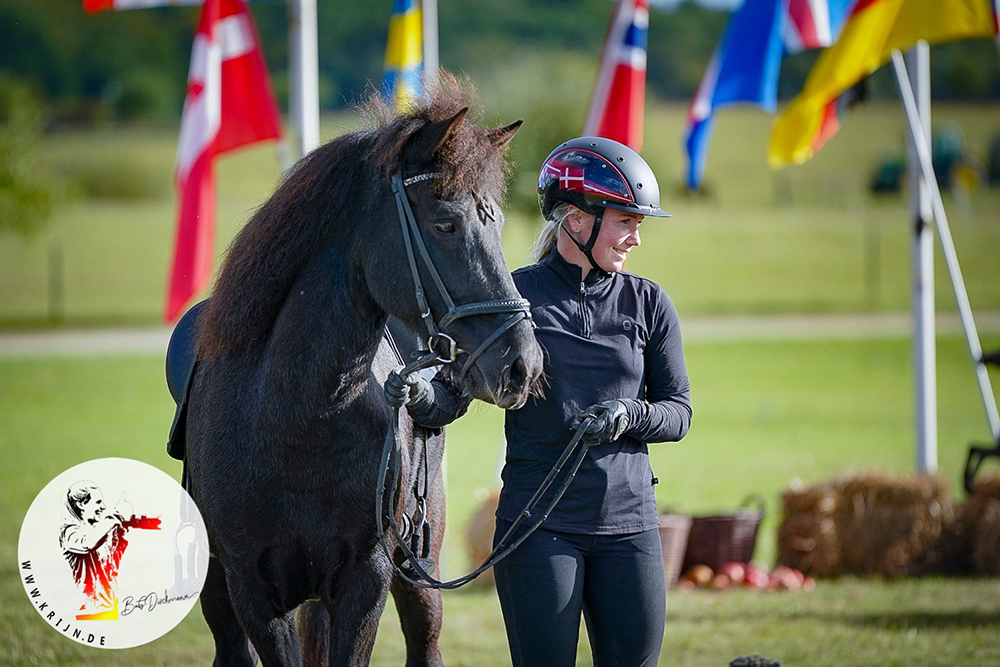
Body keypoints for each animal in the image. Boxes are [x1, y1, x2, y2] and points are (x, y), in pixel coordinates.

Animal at [179, 83, 540, 667]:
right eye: (445, 224)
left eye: (497, 224)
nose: (522, 363)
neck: (294, 420)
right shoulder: (253, 592)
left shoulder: (364, 582)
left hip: (419, 570)